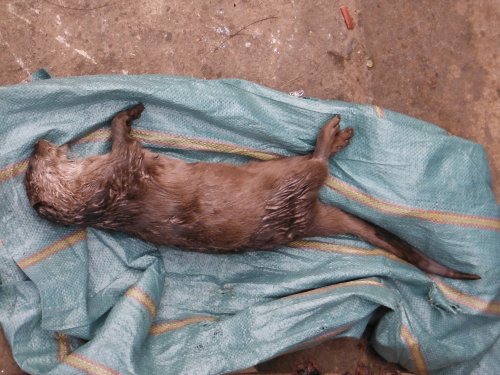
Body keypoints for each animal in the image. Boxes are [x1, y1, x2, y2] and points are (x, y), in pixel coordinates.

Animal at [24, 104, 480, 280]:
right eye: (33, 167)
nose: (38, 143)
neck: (97, 198)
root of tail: (306, 221)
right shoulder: (121, 170)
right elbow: (123, 139)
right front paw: (130, 111)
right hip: (291, 175)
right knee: (318, 165)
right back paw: (332, 135)